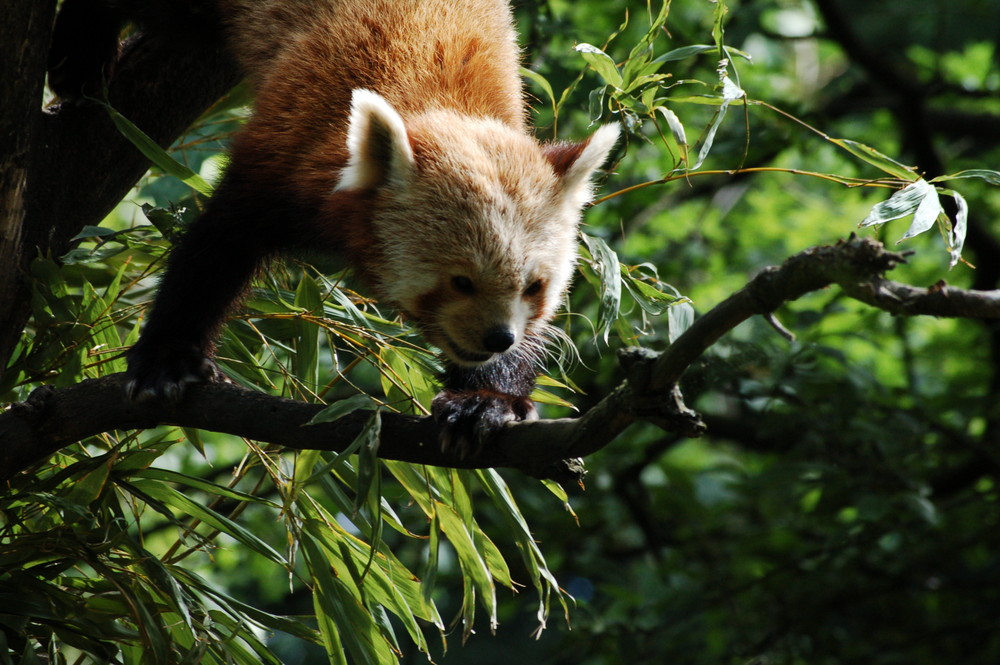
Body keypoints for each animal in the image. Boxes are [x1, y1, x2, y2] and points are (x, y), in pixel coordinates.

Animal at [54, 0, 620, 452]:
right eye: (460, 281)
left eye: (533, 288)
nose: (498, 337)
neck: (440, 102)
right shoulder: (287, 147)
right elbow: (213, 248)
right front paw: (166, 360)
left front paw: (484, 399)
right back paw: (78, 60)